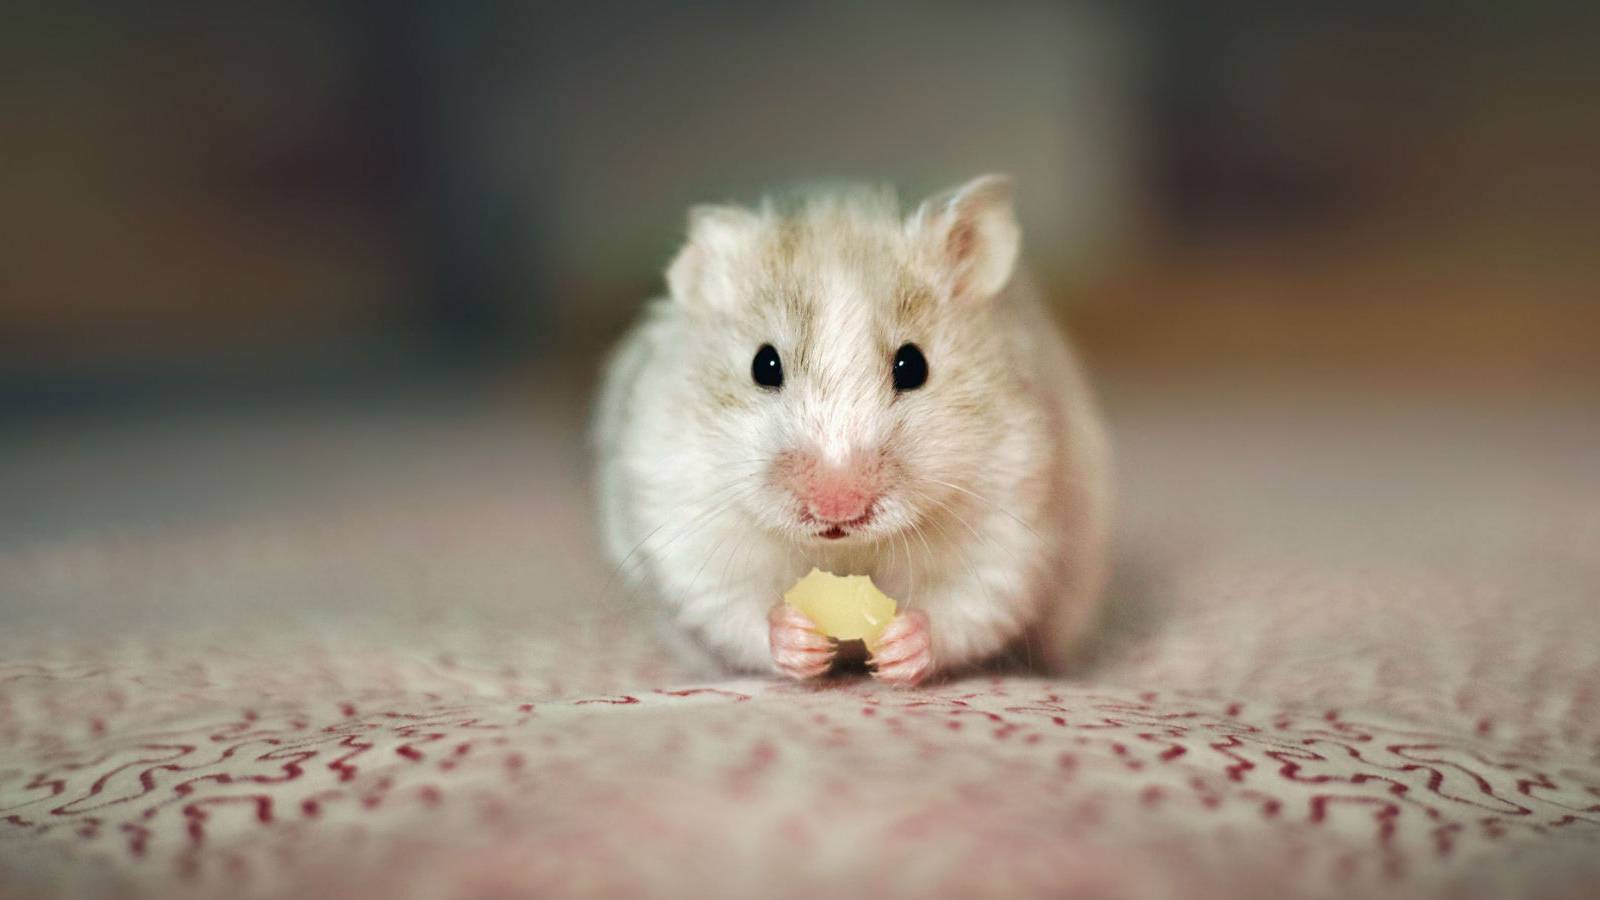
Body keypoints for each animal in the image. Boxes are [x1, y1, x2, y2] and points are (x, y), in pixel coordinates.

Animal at [592, 175, 1111, 686]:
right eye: (764, 364)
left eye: (913, 365)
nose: (836, 507)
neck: (845, 554)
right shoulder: (687, 525)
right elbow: (738, 610)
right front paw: (802, 644)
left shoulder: (1010, 527)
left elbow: (963, 609)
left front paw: (898, 650)